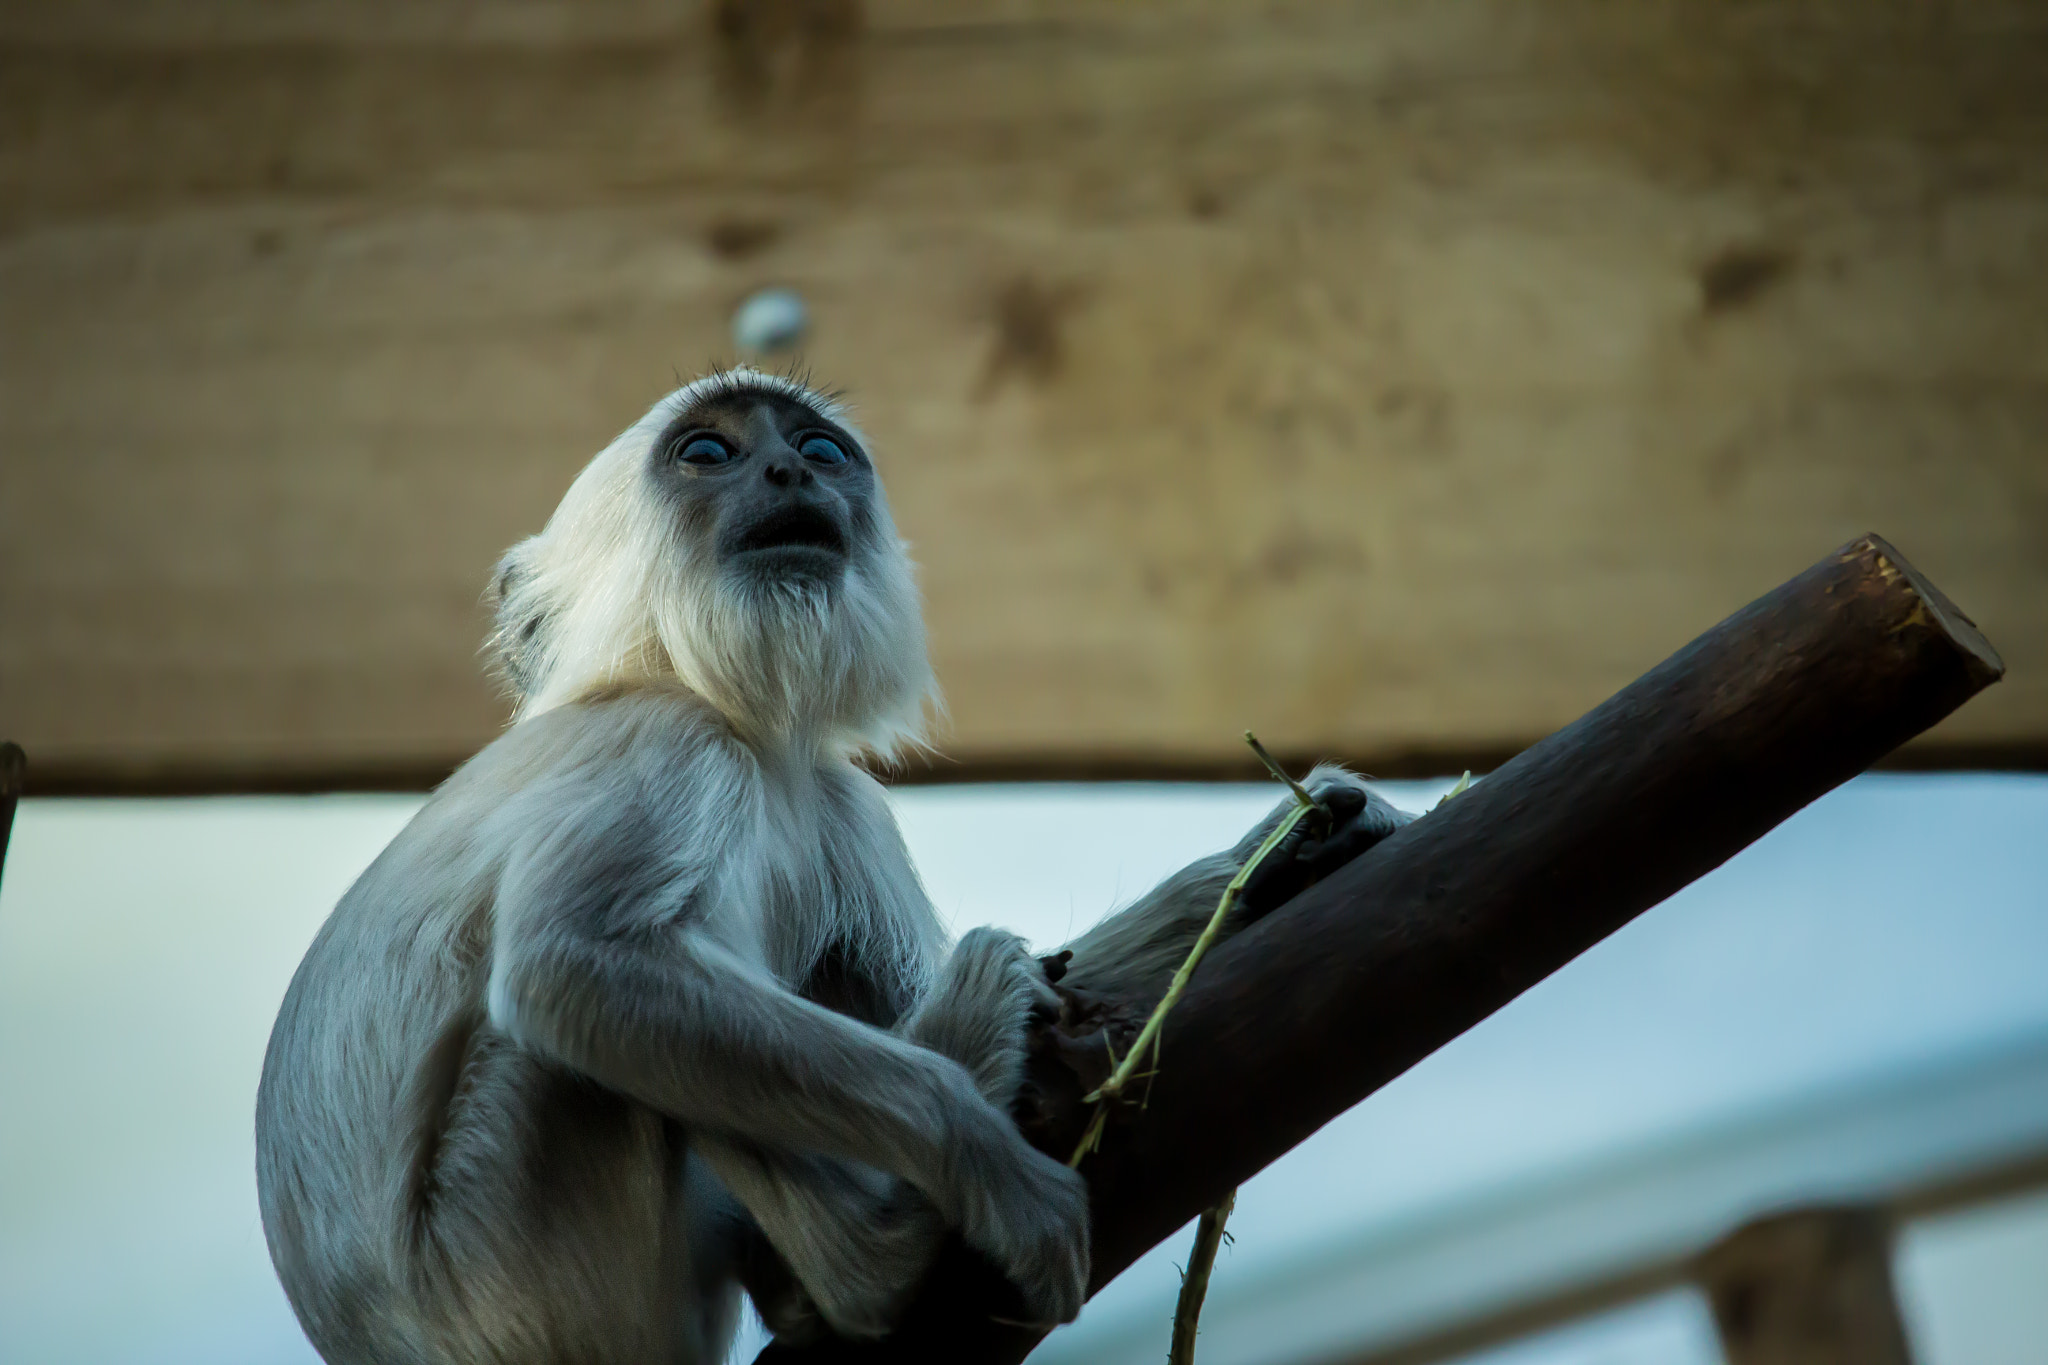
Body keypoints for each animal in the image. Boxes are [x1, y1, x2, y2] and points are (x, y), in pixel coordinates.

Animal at [255, 367, 1412, 1365]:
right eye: (708, 453)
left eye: (818, 449)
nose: (789, 474)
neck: (713, 698)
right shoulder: (666, 740)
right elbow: (569, 969)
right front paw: (987, 1157)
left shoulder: (831, 792)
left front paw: (1284, 852)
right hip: (529, 1271)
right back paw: (871, 1258)